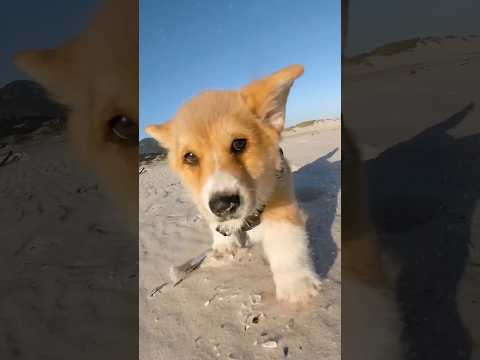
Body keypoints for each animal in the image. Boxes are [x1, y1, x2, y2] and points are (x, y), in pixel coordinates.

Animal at [144, 65, 320, 304]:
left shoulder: (280, 194)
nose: (223, 206)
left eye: (239, 144)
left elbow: (286, 241)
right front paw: (222, 247)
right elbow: (215, 226)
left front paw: (297, 285)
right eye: (190, 157)